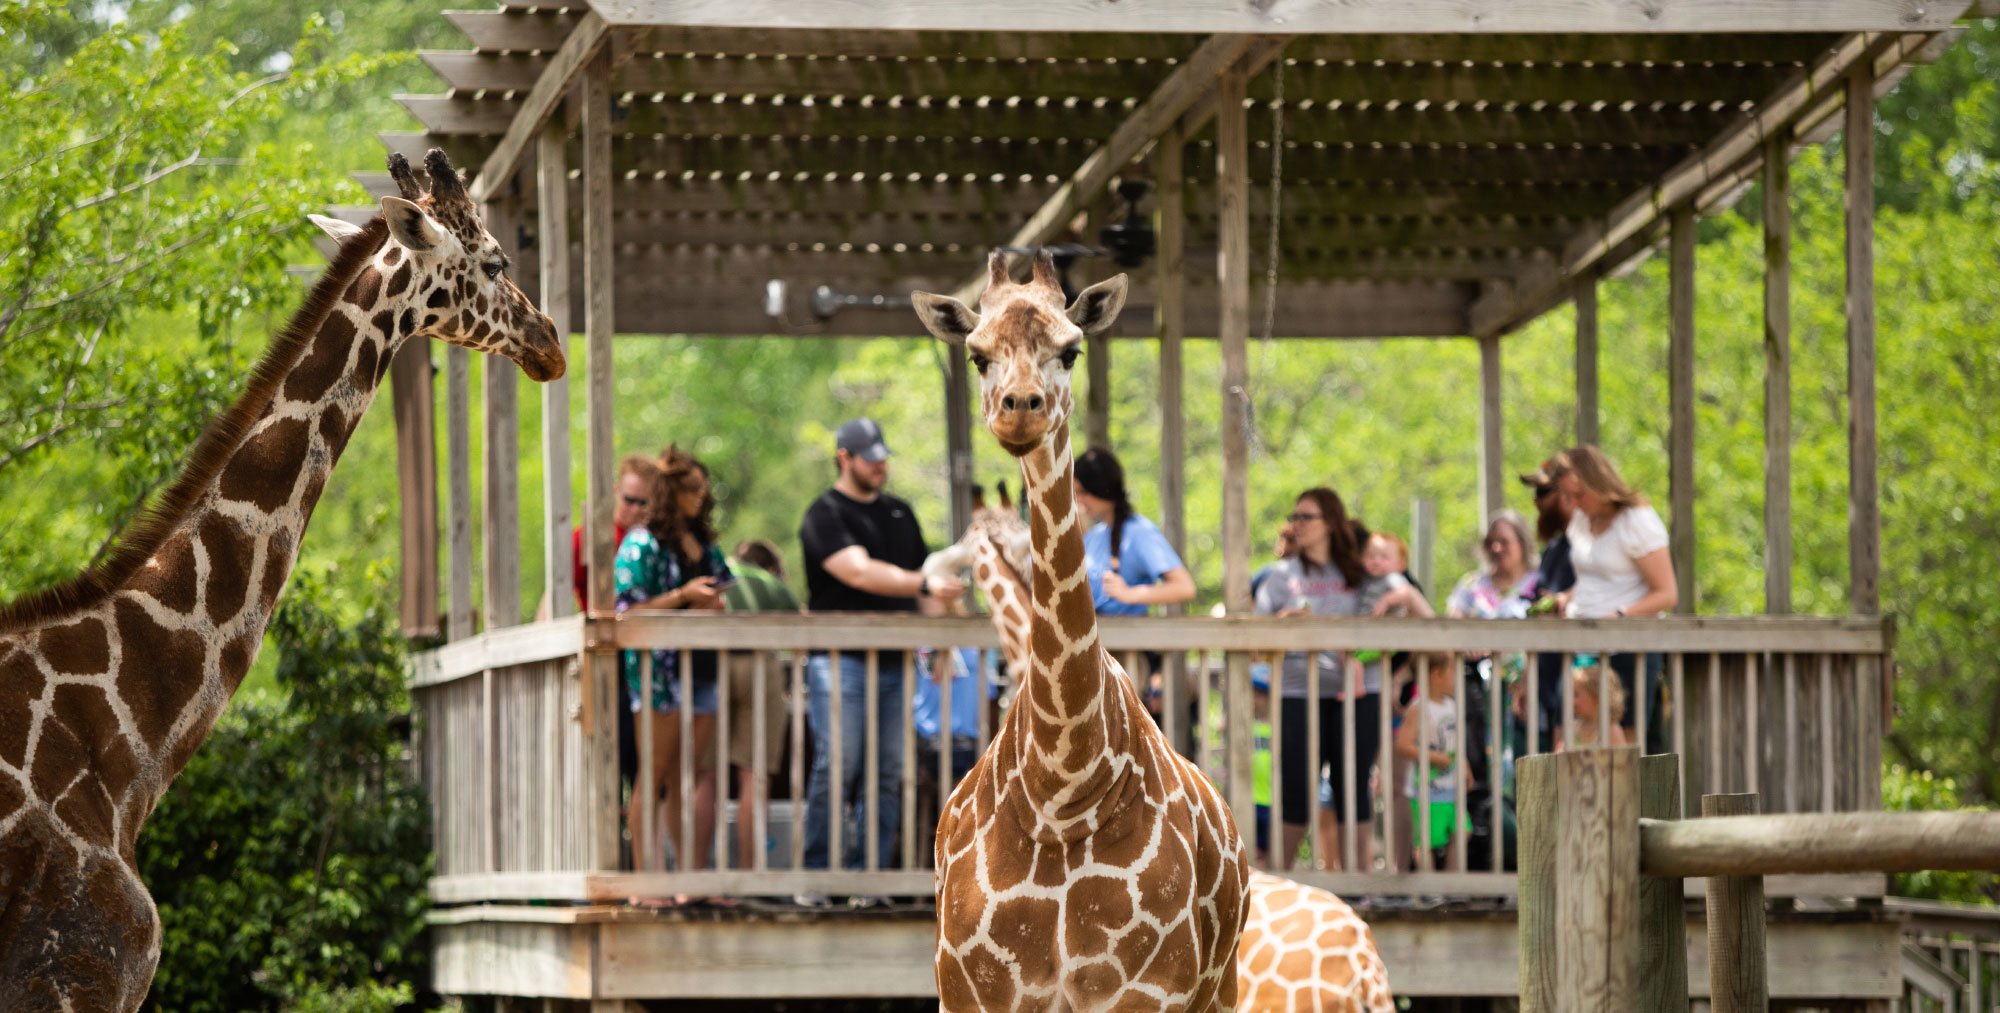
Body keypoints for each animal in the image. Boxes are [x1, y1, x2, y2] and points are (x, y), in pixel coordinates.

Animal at [916, 247, 1248, 1013]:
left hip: (1220, 988)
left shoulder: (1145, 993)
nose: (1022, 409)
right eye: (977, 355)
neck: (1062, 781)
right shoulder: (970, 992)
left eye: (1070, 349)